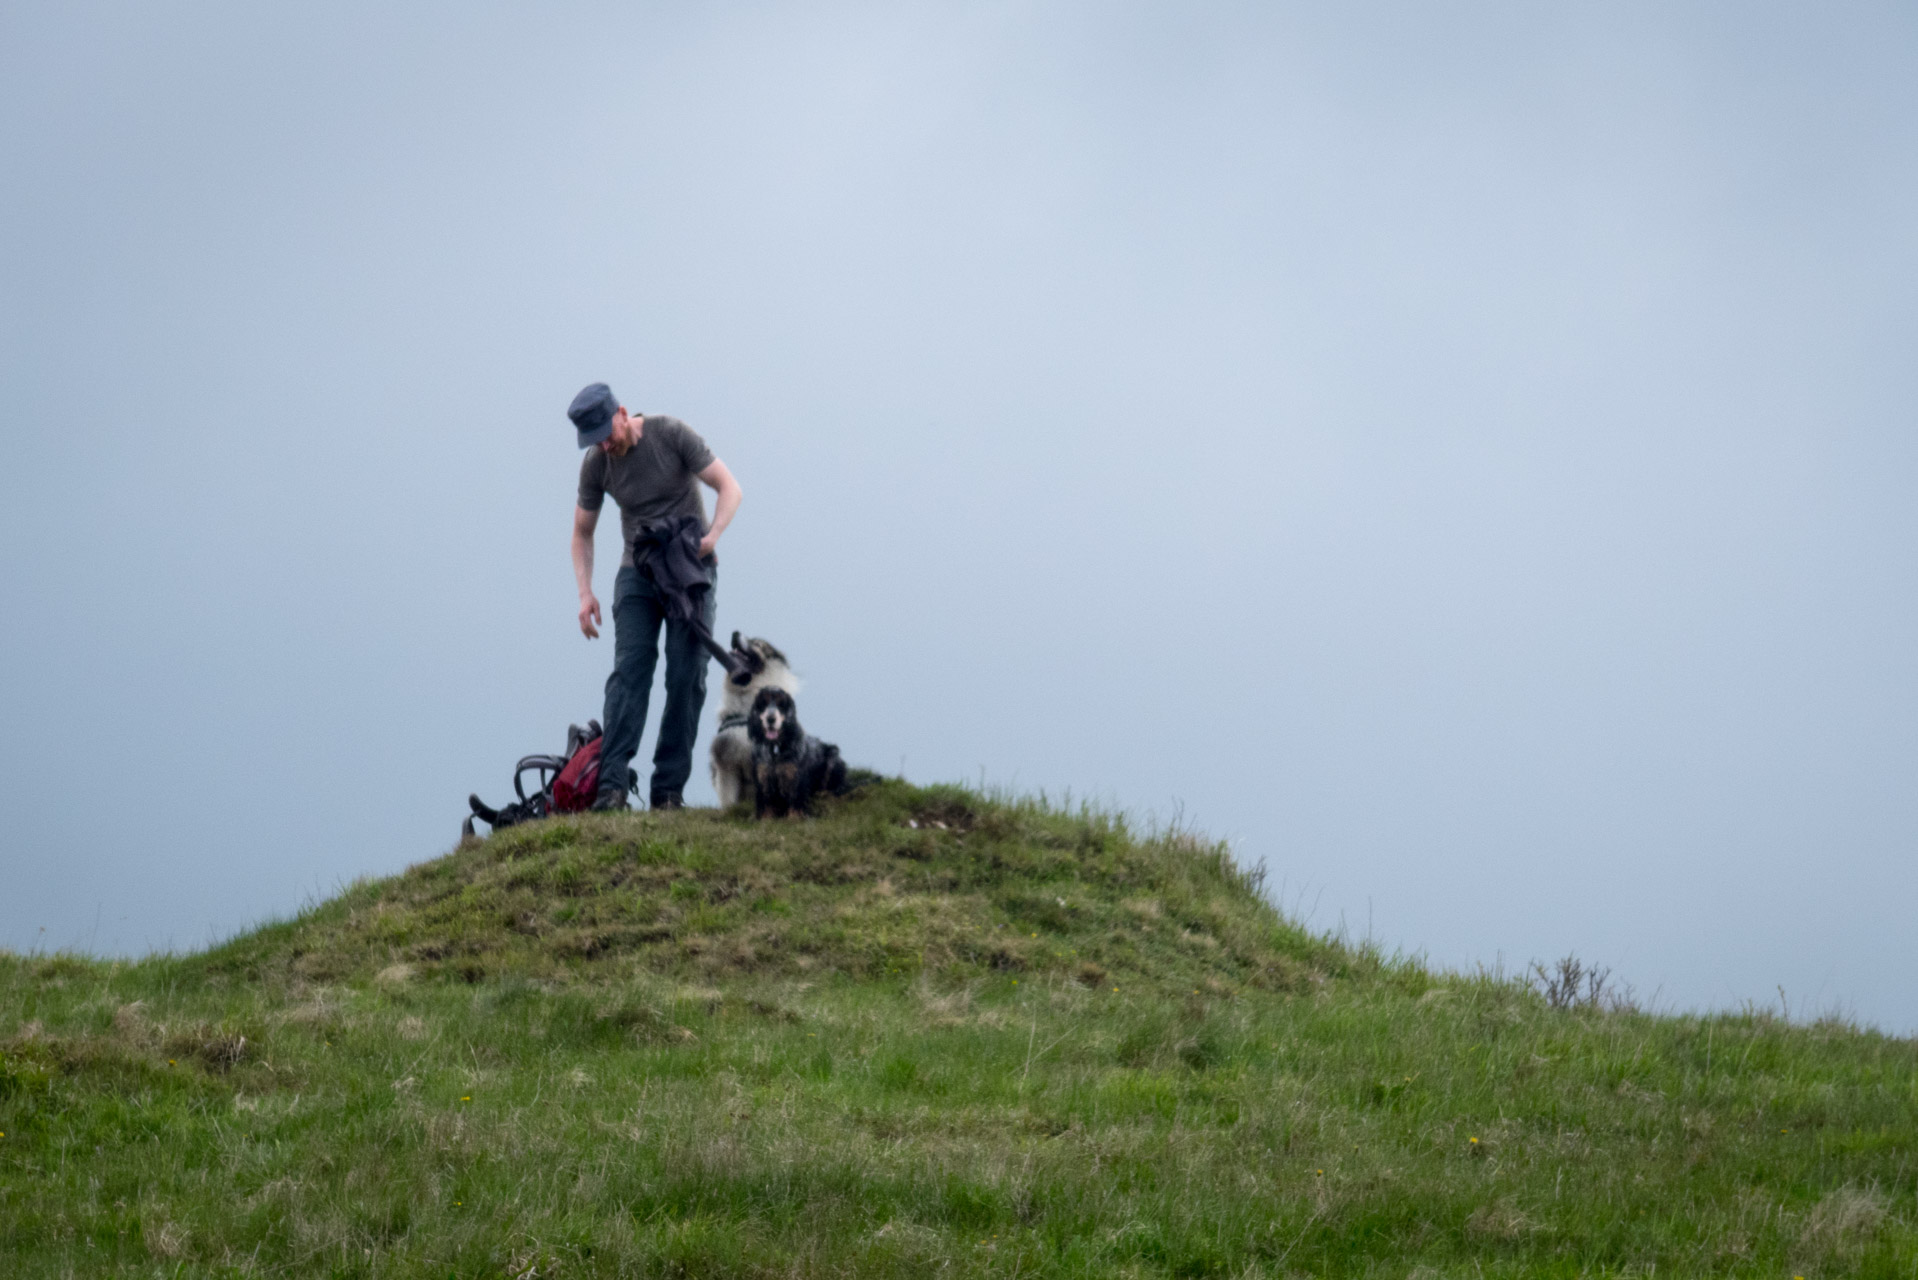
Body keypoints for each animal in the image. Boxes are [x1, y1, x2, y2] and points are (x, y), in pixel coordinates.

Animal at [744, 690, 843, 821]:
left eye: (781, 704)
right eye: (763, 703)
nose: (771, 719)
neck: (775, 748)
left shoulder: (794, 775)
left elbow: (796, 797)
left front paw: (794, 818)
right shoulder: (763, 774)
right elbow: (766, 800)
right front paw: (765, 819)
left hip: (833, 757)